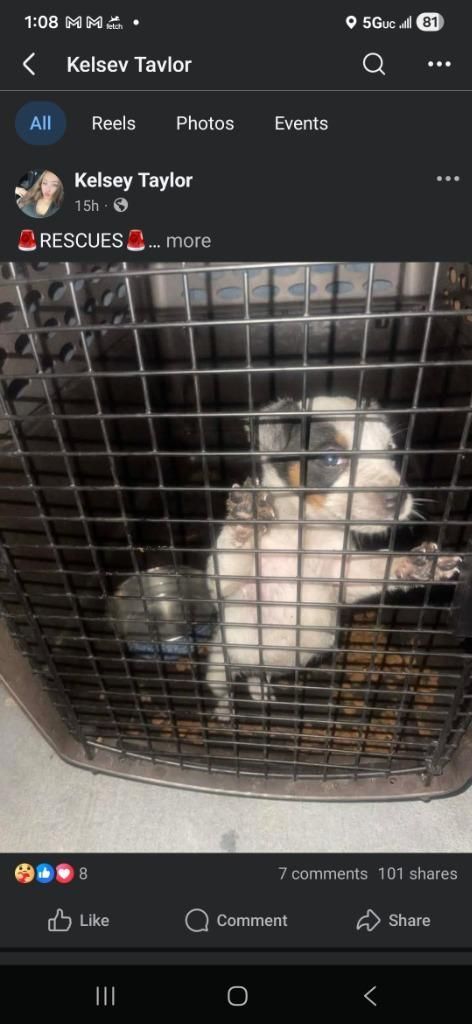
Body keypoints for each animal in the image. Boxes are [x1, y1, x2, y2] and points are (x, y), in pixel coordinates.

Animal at [205, 396, 461, 719]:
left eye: (391, 452)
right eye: (330, 459)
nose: (400, 499)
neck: (304, 535)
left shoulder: (345, 574)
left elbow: (379, 565)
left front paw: (417, 563)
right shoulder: (224, 585)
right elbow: (232, 554)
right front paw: (246, 516)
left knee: (256, 676)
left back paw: (261, 691)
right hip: (220, 662)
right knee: (224, 689)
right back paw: (226, 713)